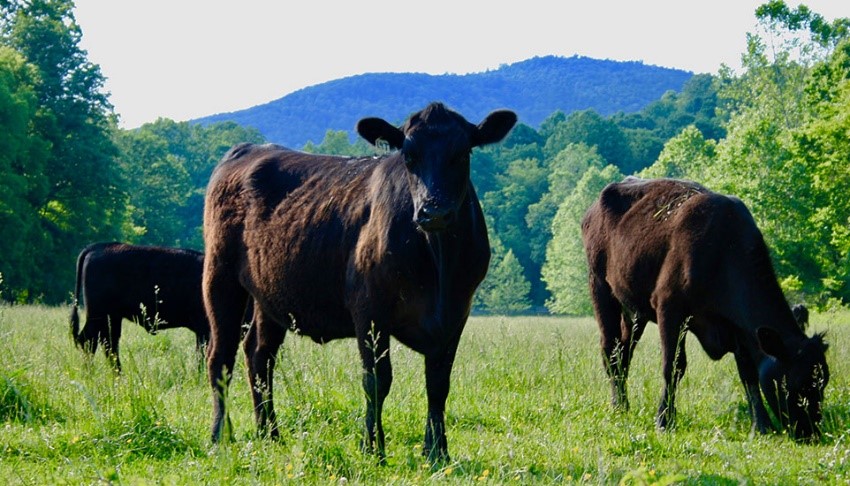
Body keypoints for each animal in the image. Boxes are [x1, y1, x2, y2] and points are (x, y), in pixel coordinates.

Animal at [71, 241, 210, 370]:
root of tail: (97, 246)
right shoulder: (204, 329)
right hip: (98, 316)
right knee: (89, 341)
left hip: (111, 318)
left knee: (108, 343)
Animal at [202, 101, 512, 460]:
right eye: (408, 155)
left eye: (462, 154)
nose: (432, 212)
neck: (439, 266)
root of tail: (249, 148)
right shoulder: (370, 308)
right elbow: (377, 379)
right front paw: (372, 447)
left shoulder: (456, 313)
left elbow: (438, 383)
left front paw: (437, 452)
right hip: (220, 277)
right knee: (221, 358)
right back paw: (220, 435)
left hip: (268, 294)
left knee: (259, 355)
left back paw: (270, 433)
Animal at [580, 177, 824, 438]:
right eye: (795, 383)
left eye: (823, 381)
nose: (811, 432)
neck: (723, 250)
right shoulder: (670, 310)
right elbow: (673, 367)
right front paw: (664, 421)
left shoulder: (738, 328)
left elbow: (748, 374)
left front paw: (761, 425)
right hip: (600, 289)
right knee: (610, 351)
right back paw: (618, 407)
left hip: (634, 312)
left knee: (623, 352)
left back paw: (624, 405)